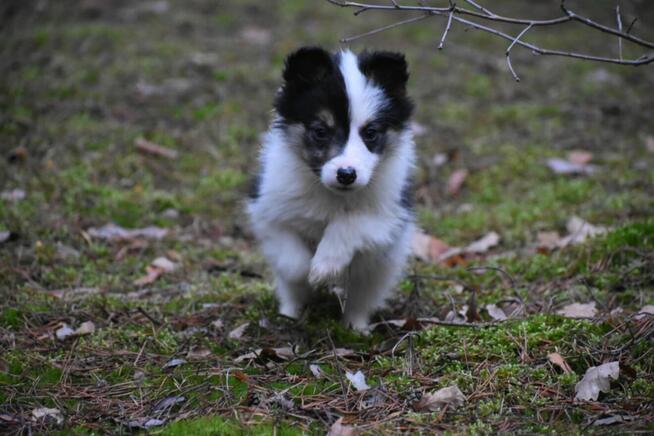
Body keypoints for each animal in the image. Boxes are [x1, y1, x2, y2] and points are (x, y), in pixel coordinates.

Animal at [249, 46, 418, 330]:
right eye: (320, 131)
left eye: (370, 133)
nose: (346, 175)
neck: (332, 195)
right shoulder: (267, 210)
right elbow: (292, 261)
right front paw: (310, 274)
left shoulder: (388, 216)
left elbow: (350, 222)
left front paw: (324, 267)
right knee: (290, 289)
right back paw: (291, 314)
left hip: (381, 268)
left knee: (362, 297)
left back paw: (355, 327)